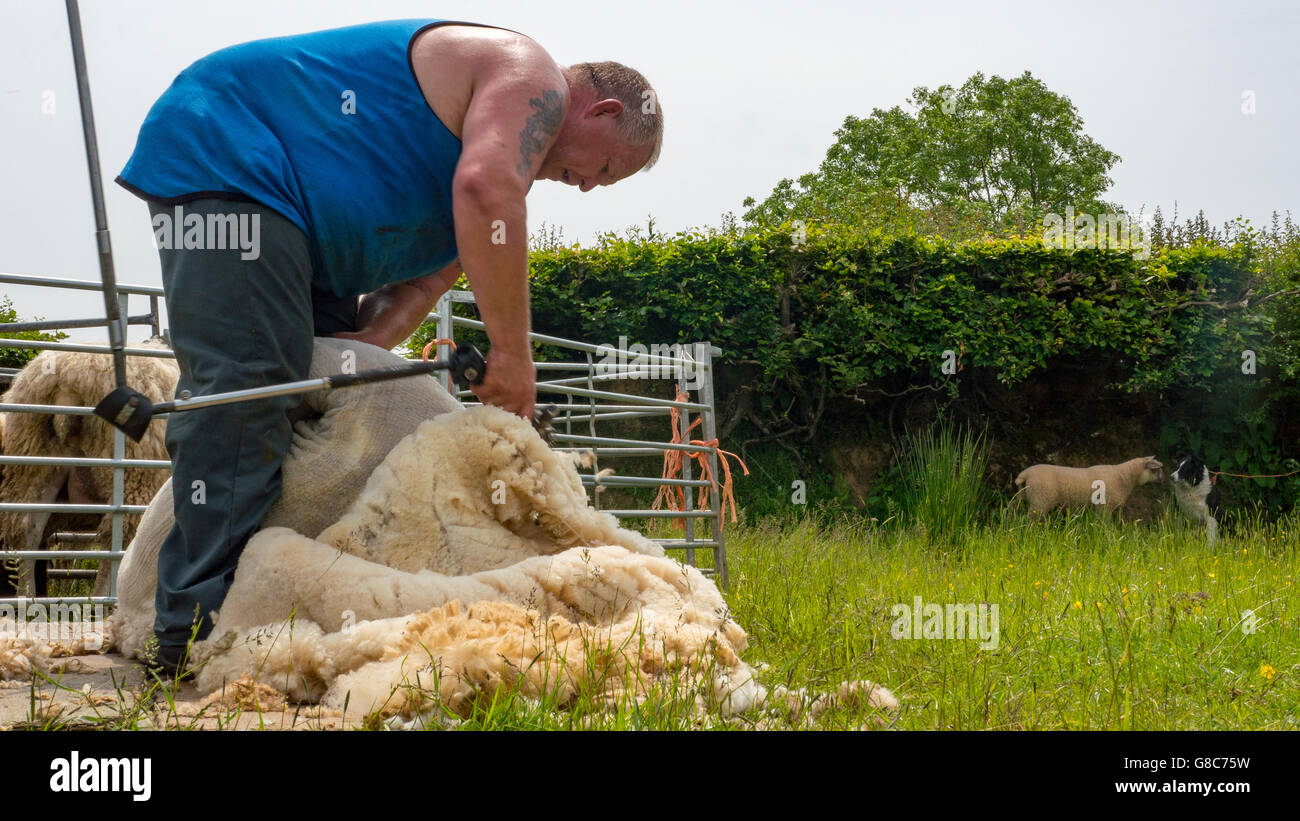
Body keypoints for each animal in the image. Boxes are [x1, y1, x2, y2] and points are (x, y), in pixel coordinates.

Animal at [0, 341, 178, 597]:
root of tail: (69, 375)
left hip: (34, 459)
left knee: (26, 531)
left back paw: (29, 600)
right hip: (134, 476)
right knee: (118, 540)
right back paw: (106, 599)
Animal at [1014, 456, 1164, 516]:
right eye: (1156, 470)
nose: (1164, 479)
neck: (1124, 476)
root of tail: (1024, 475)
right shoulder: (1104, 508)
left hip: (1022, 498)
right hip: (1039, 502)